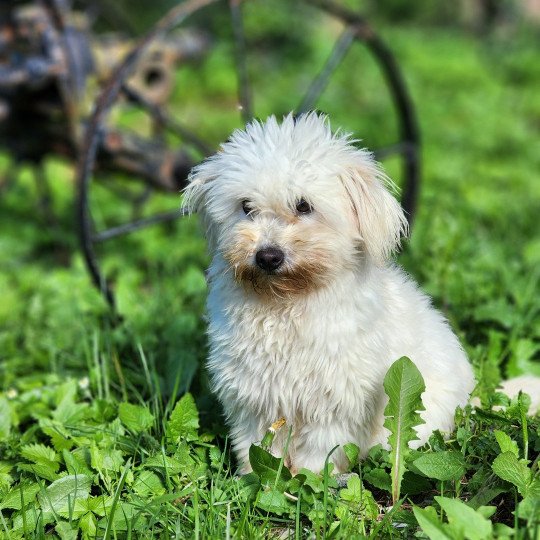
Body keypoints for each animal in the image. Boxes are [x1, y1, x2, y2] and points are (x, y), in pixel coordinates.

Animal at [187, 114, 476, 472]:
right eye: (246, 207)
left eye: (303, 206)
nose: (267, 256)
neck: (287, 303)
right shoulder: (254, 398)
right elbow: (256, 448)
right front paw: (254, 477)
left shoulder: (335, 404)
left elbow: (318, 454)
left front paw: (307, 479)